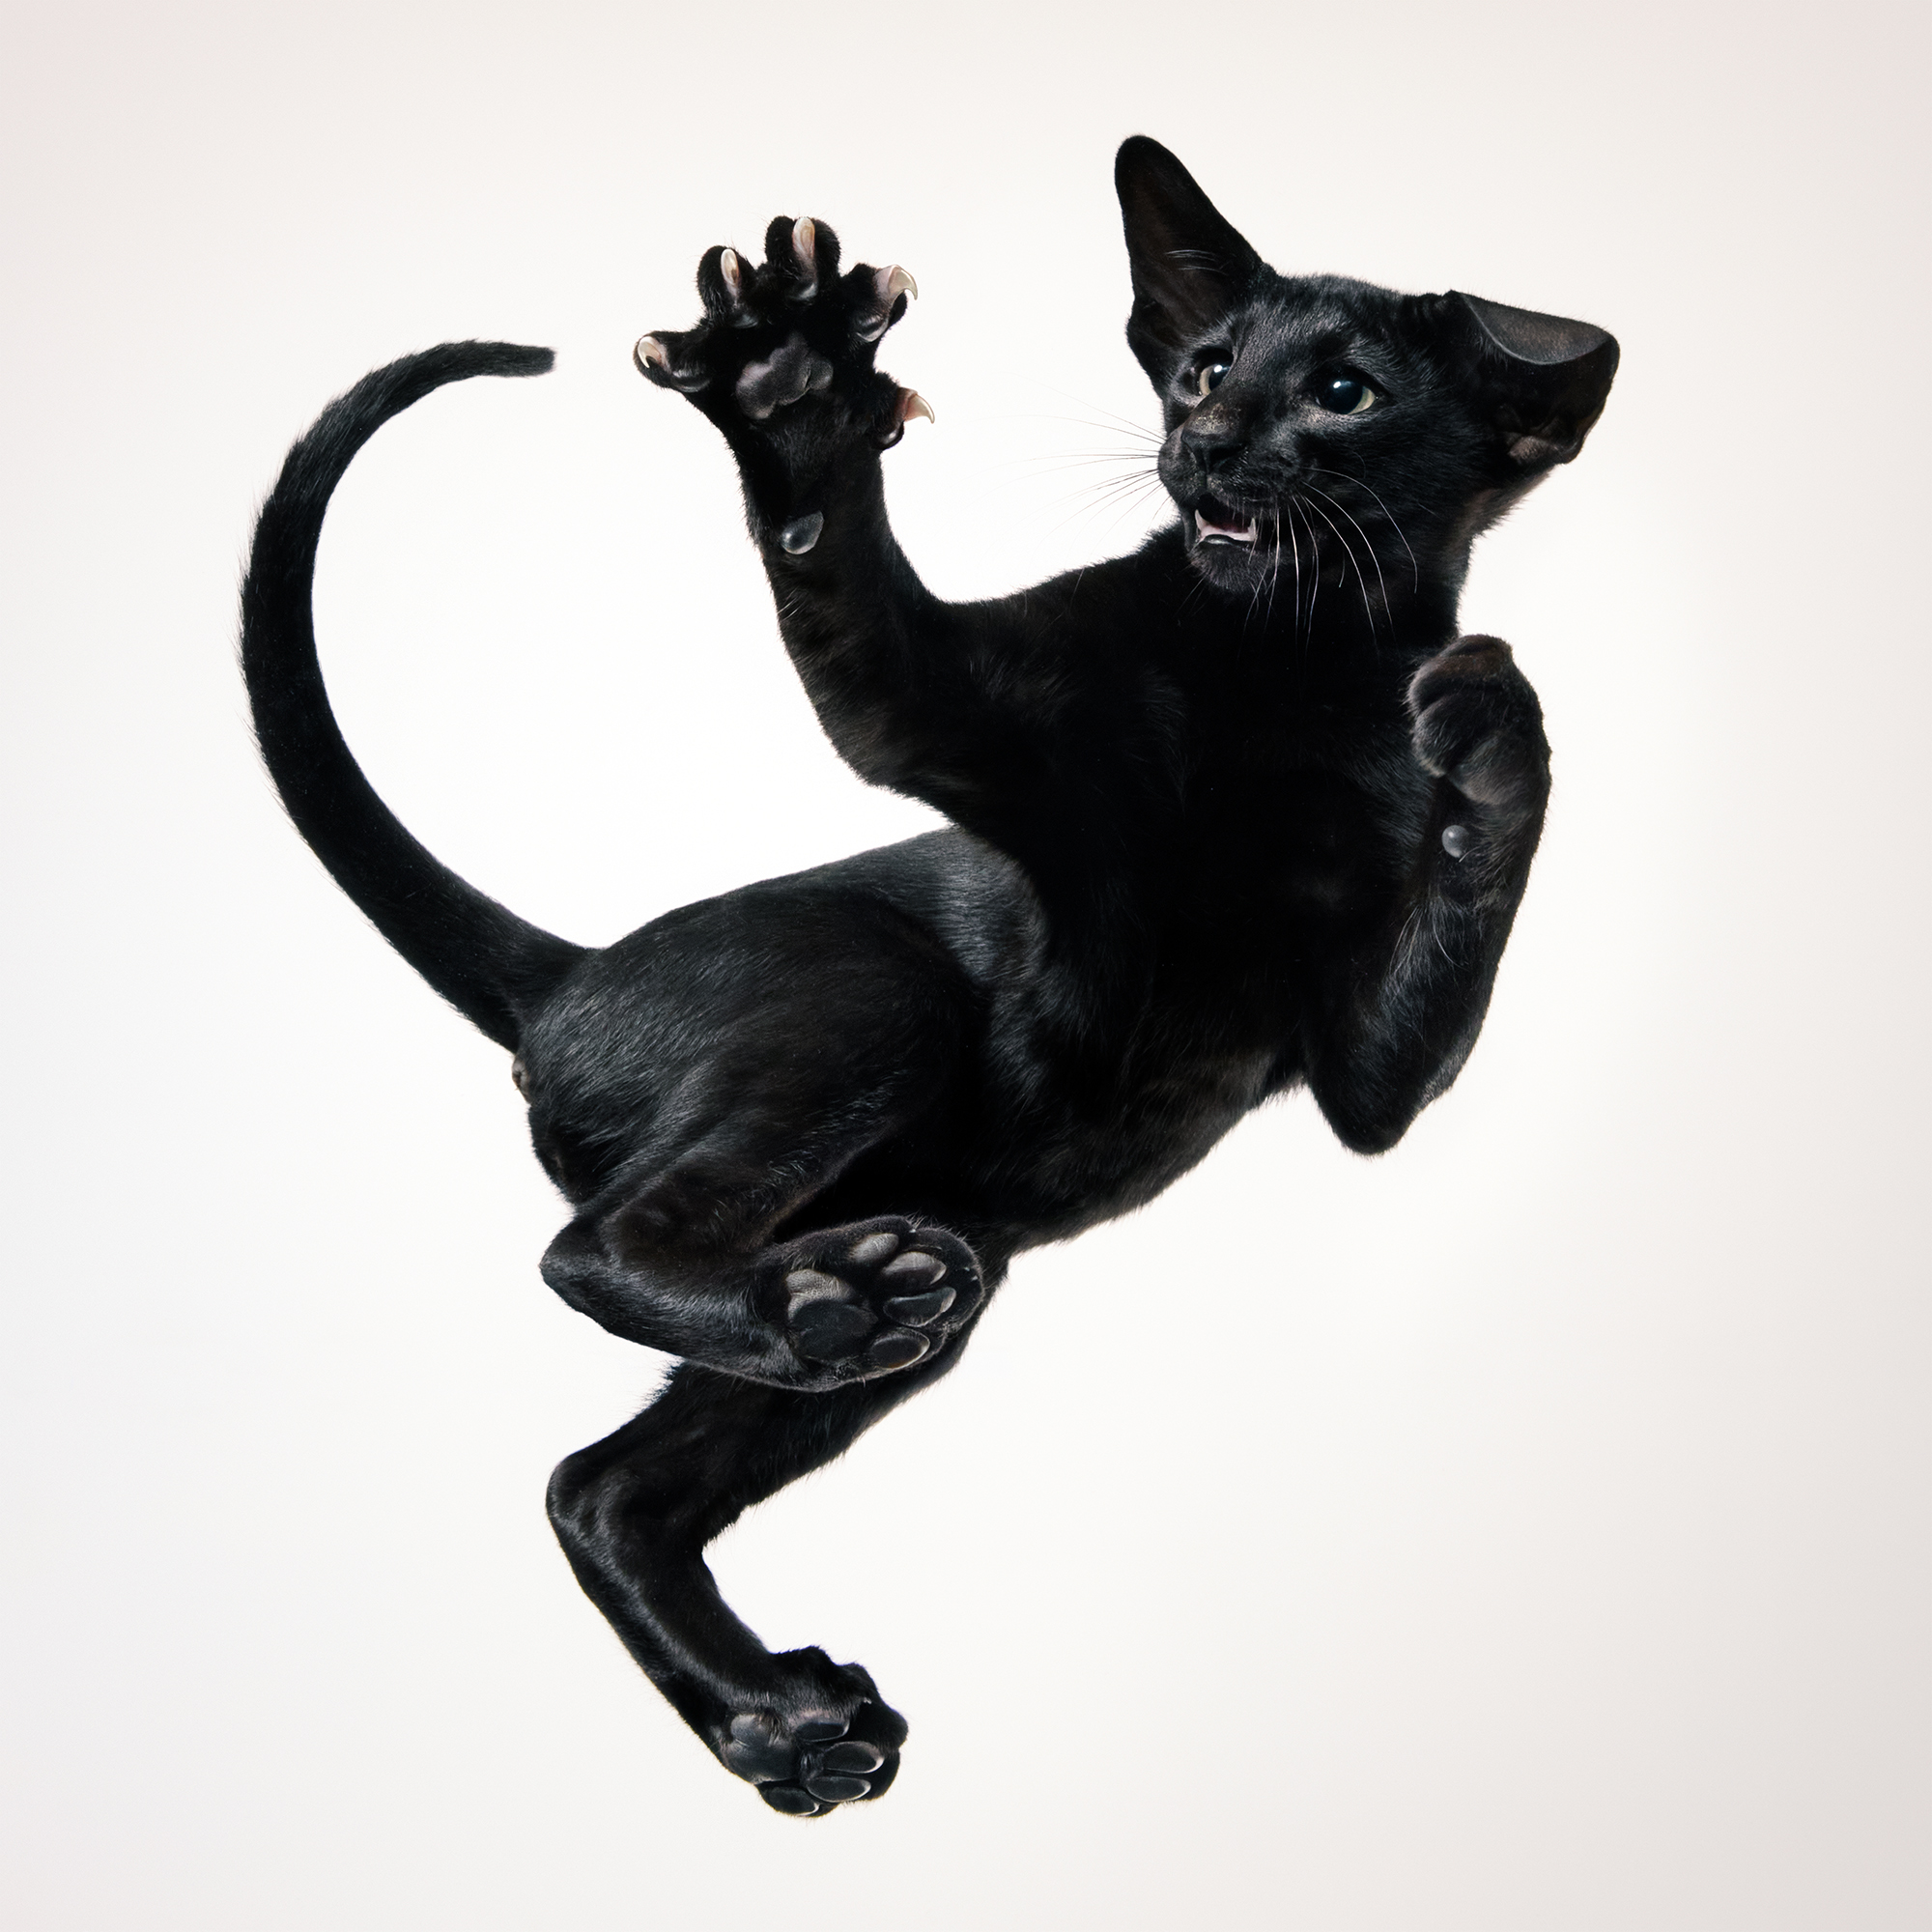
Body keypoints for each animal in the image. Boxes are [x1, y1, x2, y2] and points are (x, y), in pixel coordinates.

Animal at [241, 135, 1616, 1818]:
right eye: (1207, 369)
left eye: (1343, 392)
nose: (1207, 440)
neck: (1293, 655)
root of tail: (567, 979)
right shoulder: (941, 712)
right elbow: (844, 585)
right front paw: (793, 385)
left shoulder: (1372, 1072)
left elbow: (1472, 891)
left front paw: (1488, 729)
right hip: (869, 998)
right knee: (585, 1256)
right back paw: (819, 1310)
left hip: (949, 1257)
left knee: (603, 1485)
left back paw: (784, 1705)